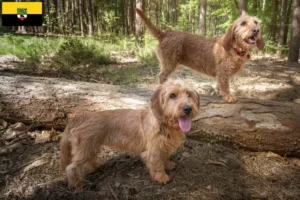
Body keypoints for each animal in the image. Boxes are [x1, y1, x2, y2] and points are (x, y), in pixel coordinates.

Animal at [59, 80, 200, 191]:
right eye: (172, 95)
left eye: (189, 94)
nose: (188, 108)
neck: (165, 125)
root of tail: (80, 117)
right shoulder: (152, 151)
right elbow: (157, 164)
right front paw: (161, 177)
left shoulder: (164, 147)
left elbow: (164, 157)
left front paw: (168, 164)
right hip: (85, 148)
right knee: (71, 168)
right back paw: (76, 184)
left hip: (91, 146)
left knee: (88, 160)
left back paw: (94, 166)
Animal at [136, 8, 264, 102]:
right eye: (243, 23)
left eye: (256, 22)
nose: (256, 30)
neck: (234, 48)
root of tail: (165, 33)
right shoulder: (222, 73)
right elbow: (225, 86)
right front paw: (228, 96)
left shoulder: (221, 75)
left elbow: (219, 85)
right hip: (169, 63)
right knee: (161, 76)